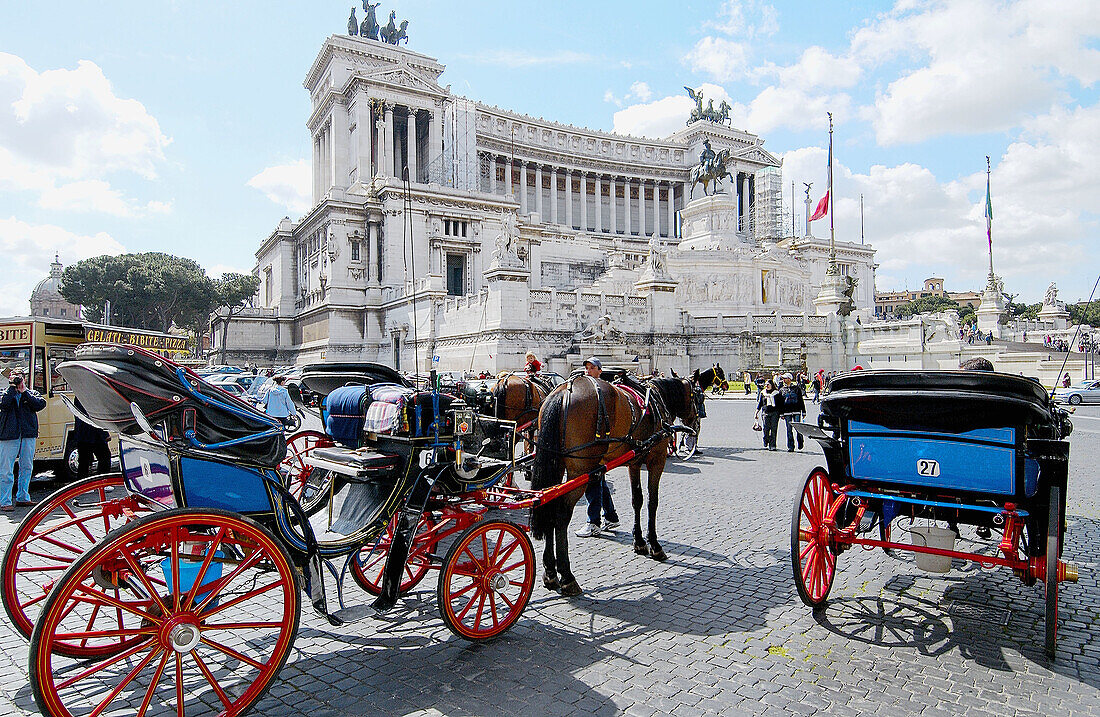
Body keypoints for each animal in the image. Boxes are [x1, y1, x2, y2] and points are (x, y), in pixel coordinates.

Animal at [530, 376, 695, 593]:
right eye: (697, 395)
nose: (695, 423)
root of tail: (564, 390)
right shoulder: (657, 459)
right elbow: (653, 502)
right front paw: (655, 545)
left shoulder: (634, 462)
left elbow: (637, 500)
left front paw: (639, 542)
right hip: (581, 470)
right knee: (561, 513)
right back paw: (567, 576)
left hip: (557, 466)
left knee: (548, 503)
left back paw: (550, 573)